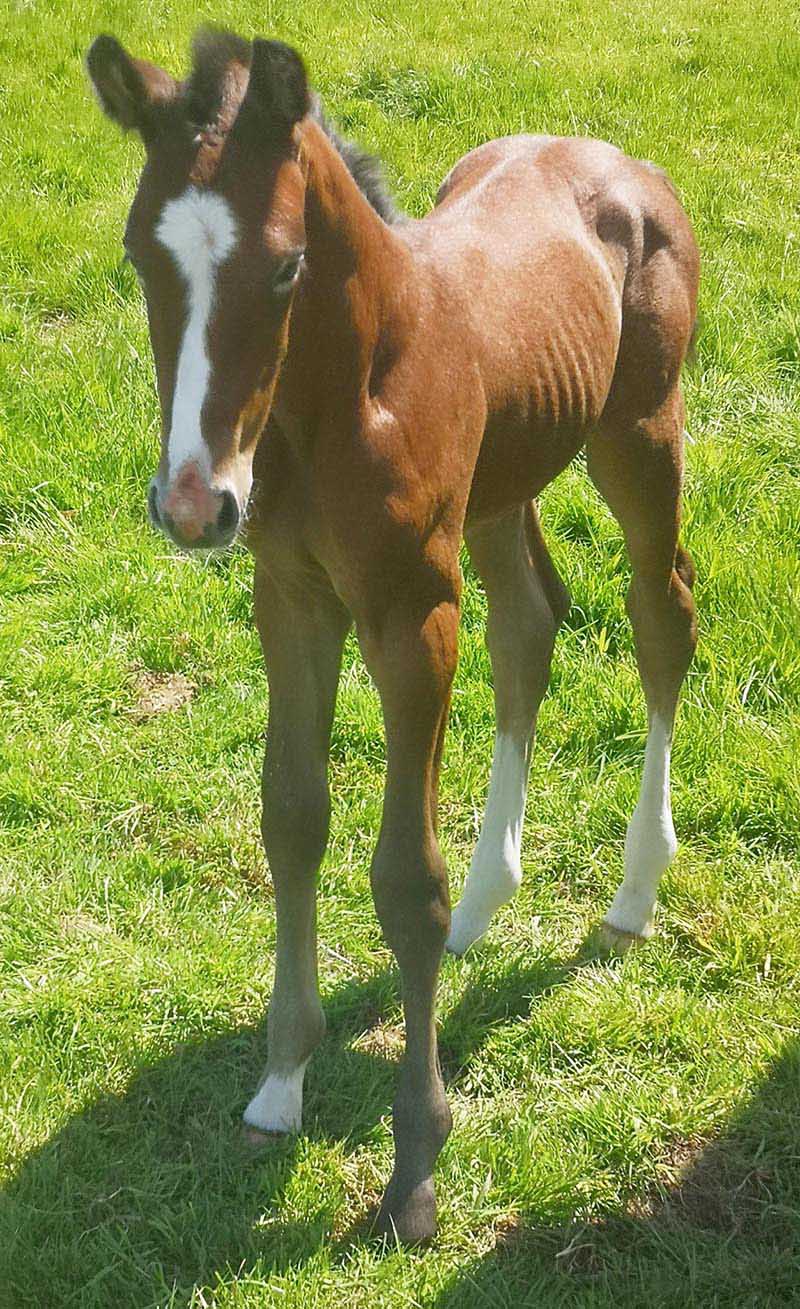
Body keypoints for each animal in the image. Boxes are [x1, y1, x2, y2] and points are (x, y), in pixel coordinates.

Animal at [89, 28, 701, 1235]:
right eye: (141, 255)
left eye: (285, 267)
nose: (192, 505)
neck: (337, 395)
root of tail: (618, 161)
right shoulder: (291, 598)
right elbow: (292, 819)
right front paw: (280, 1081)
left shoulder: (411, 611)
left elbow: (401, 879)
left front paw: (416, 1160)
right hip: (507, 478)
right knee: (530, 627)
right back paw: (487, 901)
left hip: (639, 435)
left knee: (661, 619)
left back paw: (630, 895)